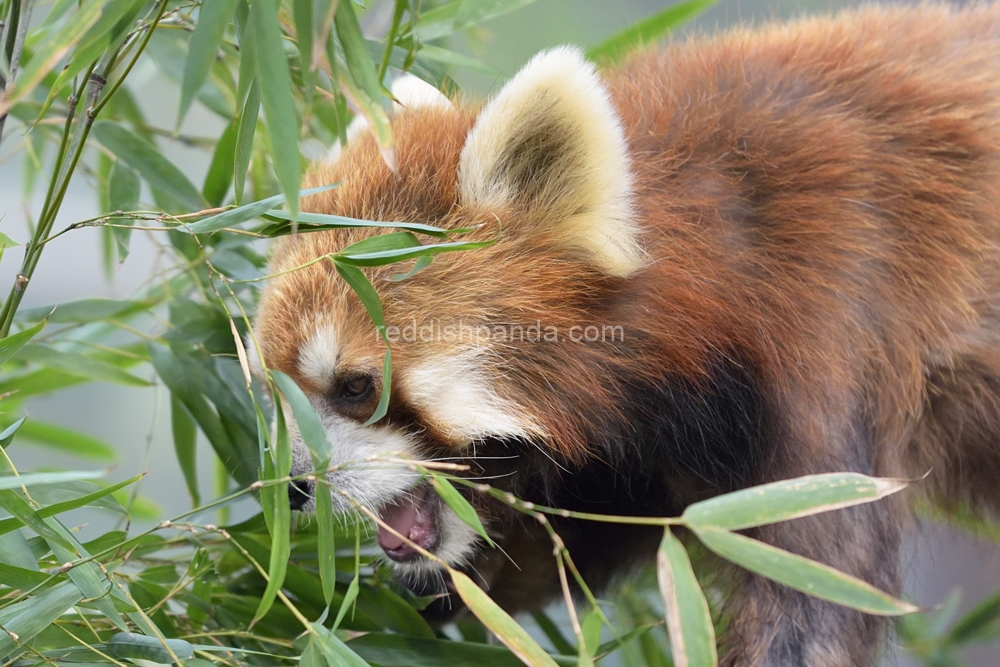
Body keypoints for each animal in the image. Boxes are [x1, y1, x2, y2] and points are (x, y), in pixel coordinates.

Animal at [254, 6, 1000, 667]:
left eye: (356, 387)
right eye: (275, 391)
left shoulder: (837, 324)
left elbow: (814, 596)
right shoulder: (637, 464)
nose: (294, 488)